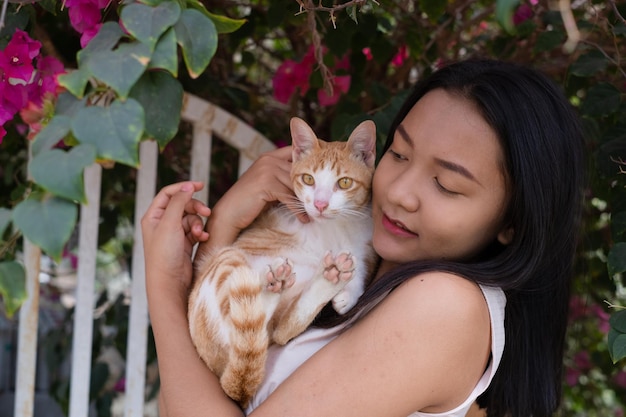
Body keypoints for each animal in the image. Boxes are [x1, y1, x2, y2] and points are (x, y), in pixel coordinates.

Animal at [188, 117, 376, 406]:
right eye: (308, 179)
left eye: (344, 183)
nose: (320, 204)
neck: (336, 226)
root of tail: (224, 372)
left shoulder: (366, 242)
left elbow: (362, 262)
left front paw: (349, 290)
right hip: (227, 260)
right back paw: (274, 287)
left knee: (279, 330)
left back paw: (329, 276)